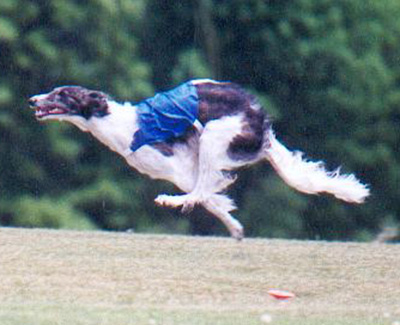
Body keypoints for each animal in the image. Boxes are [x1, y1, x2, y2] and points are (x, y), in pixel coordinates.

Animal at [29, 79, 370, 239]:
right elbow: (214, 199)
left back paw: (170, 200)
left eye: (62, 94)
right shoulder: (181, 170)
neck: (122, 125)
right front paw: (234, 226)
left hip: (214, 134)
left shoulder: (178, 165)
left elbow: (207, 191)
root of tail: (259, 116)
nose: (32, 99)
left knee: (202, 186)